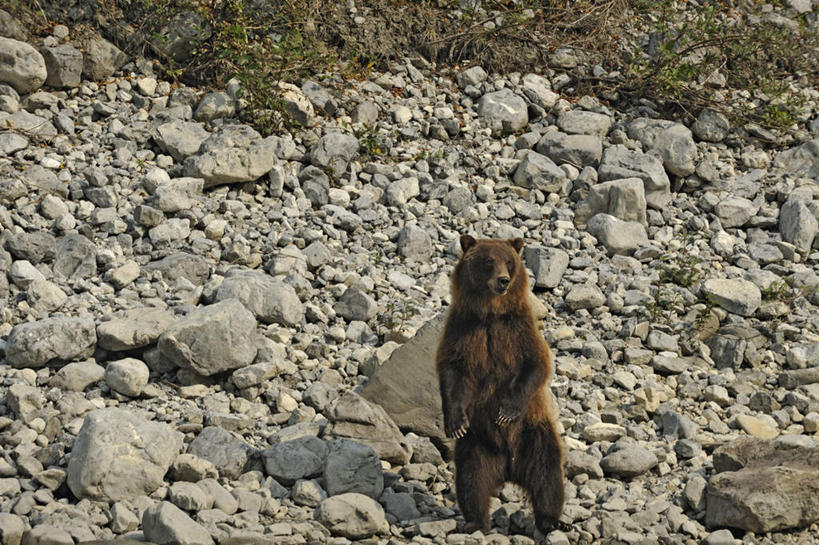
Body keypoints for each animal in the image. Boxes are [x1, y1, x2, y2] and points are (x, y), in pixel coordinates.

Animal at [436, 234, 566, 535]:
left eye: (509, 261)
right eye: (487, 261)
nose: (504, 280)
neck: (490, 314)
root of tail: (509, 468)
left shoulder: (517, 329)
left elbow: (536, 364)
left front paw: (507, 411)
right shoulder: (463, 328)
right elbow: (450, 370)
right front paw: (454, 422)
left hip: (535, 435)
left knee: (548, 475)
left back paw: (551, 520)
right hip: (477, 445)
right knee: (471, 481)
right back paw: (475, 522)